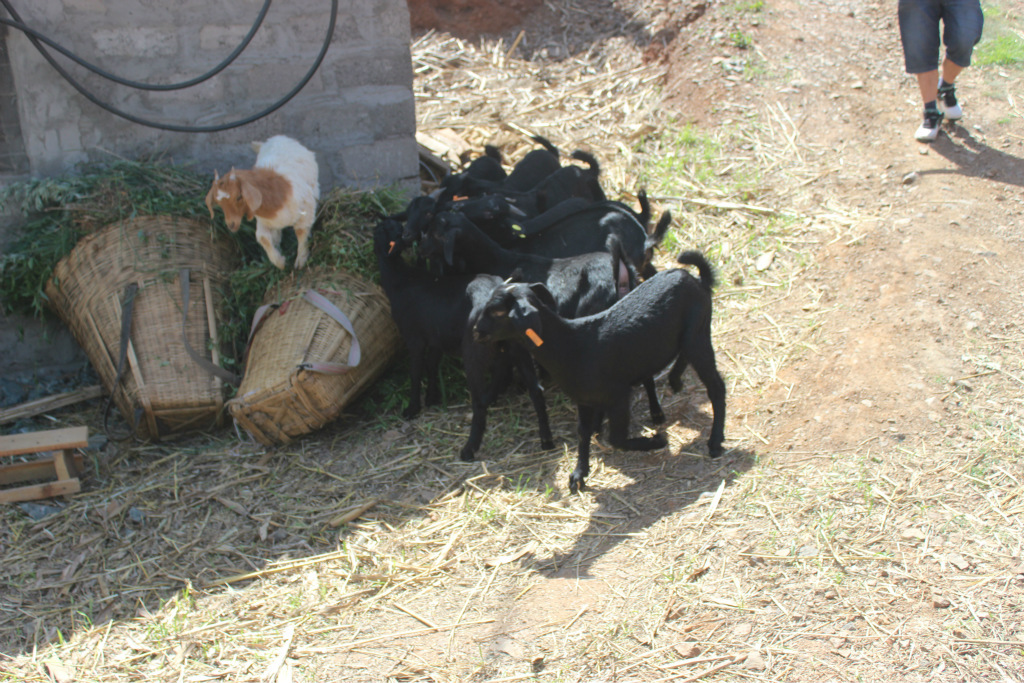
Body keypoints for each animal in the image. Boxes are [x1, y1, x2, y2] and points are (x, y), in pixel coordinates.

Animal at [203, 134, 319, 270]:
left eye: (239, 197)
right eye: (219, 203)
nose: (231, 225)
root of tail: (276, 138)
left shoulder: (306, 206)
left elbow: (301, 231)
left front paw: (301, 260)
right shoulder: (264, 221)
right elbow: (262, 237)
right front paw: (279, 261)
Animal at [374, 218, 552, 464]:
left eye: (383, 229)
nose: (387, 223)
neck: (400, 278)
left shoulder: (414, 337)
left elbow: (416, 372)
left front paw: (412, 408)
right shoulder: (436, 337)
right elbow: (432, 365)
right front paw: (432, 397)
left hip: (473, 352)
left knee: (479, 403)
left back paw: (469, 449)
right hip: (519, 349)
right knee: (536, 390)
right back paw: (546, 441)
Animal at [473, 250, 729, 491]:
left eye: (497, 312)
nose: (476, 331)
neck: (571, 345)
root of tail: (694, 278)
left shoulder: (618, 395)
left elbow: (616, 439)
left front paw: (656, 441)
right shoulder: (584, 398)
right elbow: (583, 431)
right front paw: (579, 475)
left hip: (697, 334)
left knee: (716, 387)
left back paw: (715, 442)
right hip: (691, 334)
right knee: (686, 358)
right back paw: (675, 380)